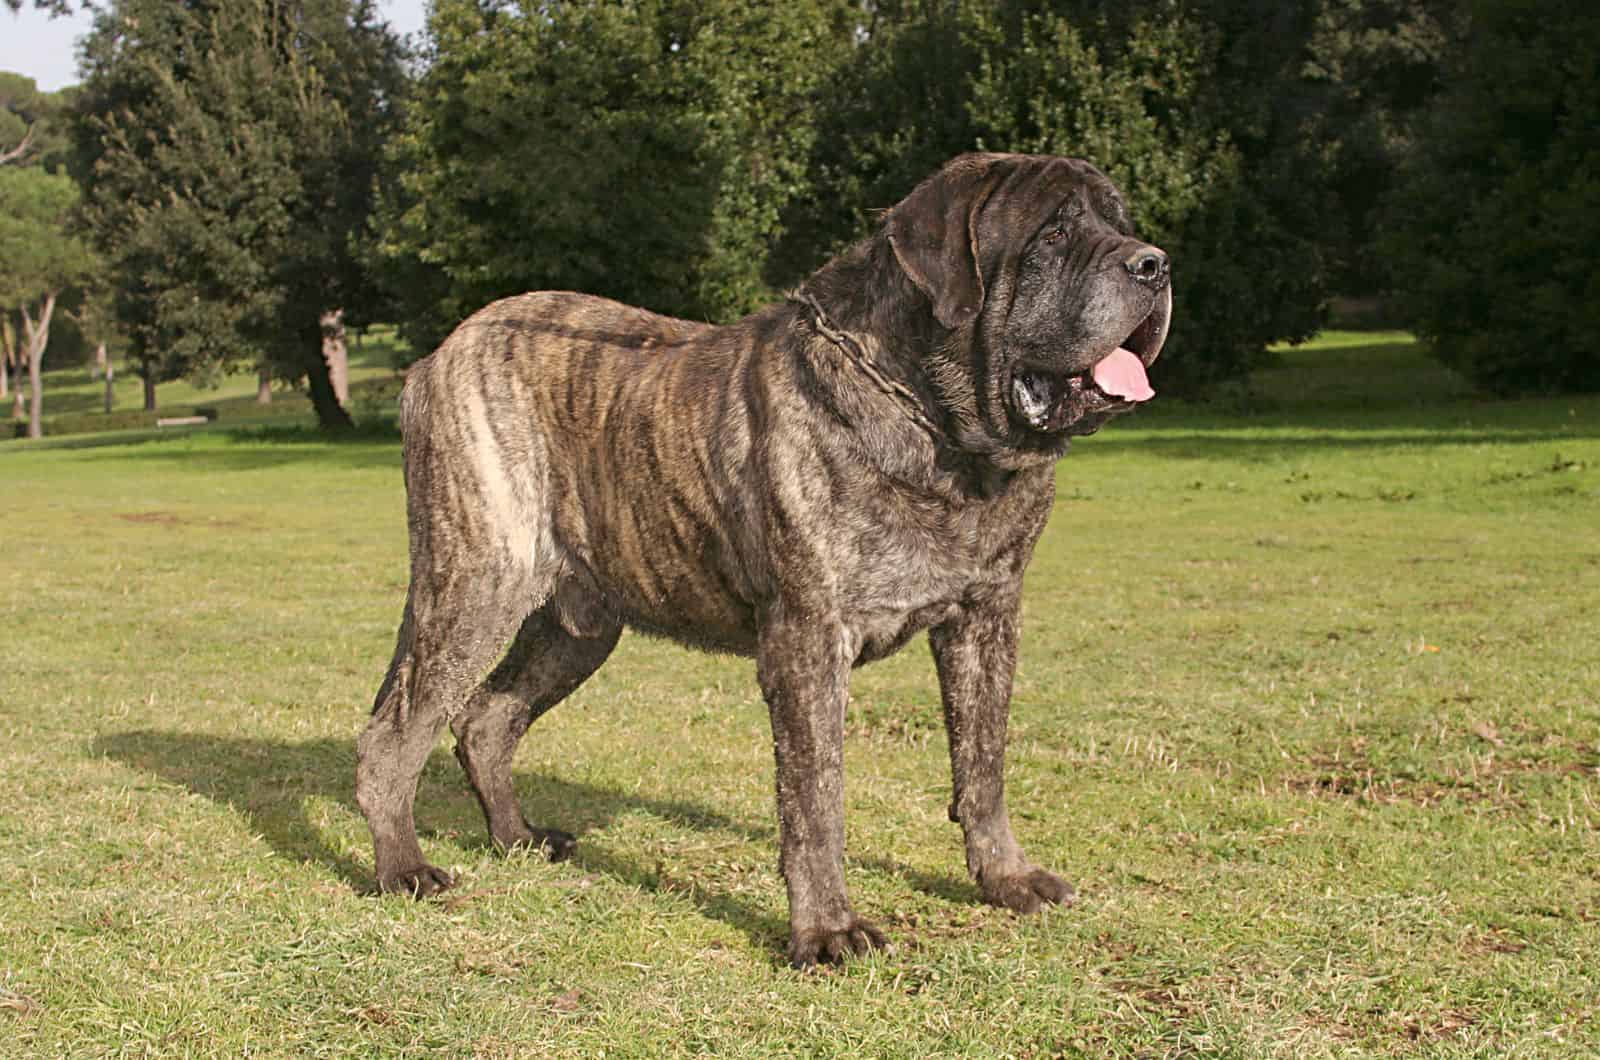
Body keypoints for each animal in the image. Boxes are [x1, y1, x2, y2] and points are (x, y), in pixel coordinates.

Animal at [356, 151, 1171, 973]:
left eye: (1119, 223)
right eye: (1052, 234)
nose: (1156, 264)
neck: (941, 435)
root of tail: (440, 353)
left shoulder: (987, 618)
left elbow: (985, 765)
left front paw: (1005, 877)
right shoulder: (808, 639)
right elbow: (815, 797)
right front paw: (827, 929)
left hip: (577, 625)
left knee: (487, 718)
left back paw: (516, 837)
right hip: (476, 585)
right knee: (394, 735)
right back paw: (404, 869)